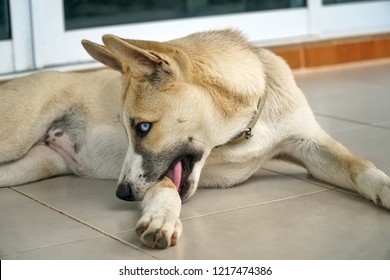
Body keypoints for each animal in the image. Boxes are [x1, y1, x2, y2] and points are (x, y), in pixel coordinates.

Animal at [0, 30, 388, 249]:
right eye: (128, 129)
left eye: (142, 127)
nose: (122, 194)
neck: (244, 126)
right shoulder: (162, 174)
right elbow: (166, 189)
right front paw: (161, 220)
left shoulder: (310, 145)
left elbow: (359, 166)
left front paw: (384, 188)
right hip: (14, 140)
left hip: (31, 165)